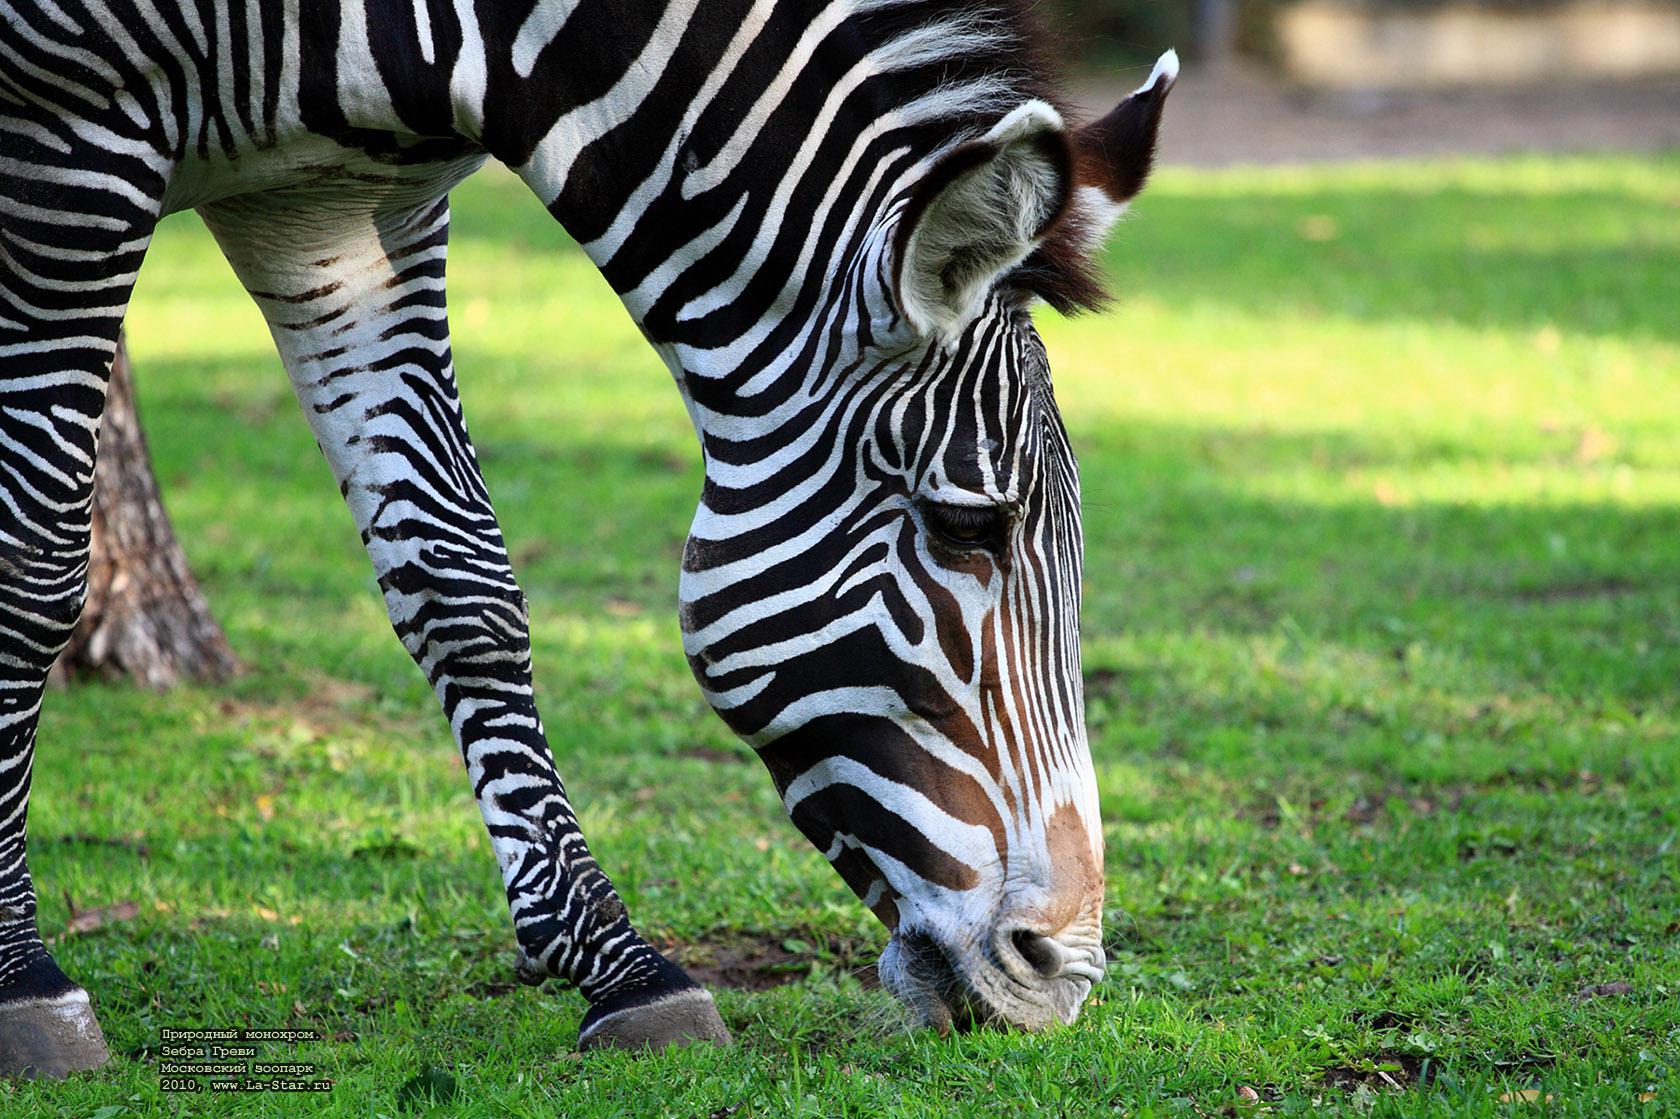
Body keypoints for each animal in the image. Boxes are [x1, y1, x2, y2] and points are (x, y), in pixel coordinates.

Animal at [0, 0, 1175, 1075]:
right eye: (966, 524)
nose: (1063, 975)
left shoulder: (336, 205)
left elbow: (458, 573)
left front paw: (621, 966)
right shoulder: (68, 134)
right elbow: (34, 567)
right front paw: (23, 978)